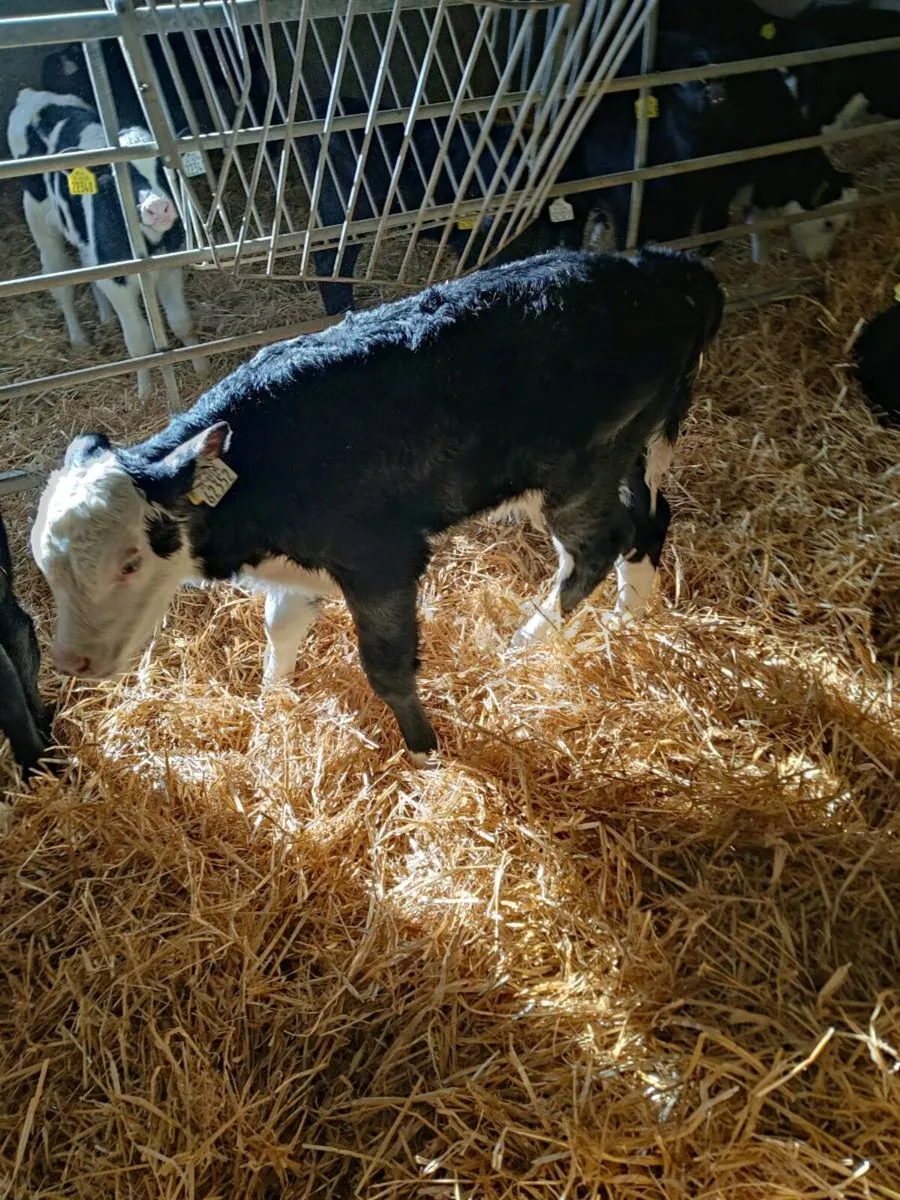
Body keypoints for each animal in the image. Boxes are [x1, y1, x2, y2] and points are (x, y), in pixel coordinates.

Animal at [31, 247, 724, 759]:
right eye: (45, 567)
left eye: (129, 562)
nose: (69, 660)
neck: (262, 465)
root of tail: (665, 270)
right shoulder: (300, 568)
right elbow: (280, 630)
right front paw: (271, 712)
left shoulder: (381, 561)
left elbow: (386, 667)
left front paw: (424, 752)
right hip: (630, 449)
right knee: (648, 521)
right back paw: (629, 620)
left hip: (576, 473)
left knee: (599, 545)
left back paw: (521, 645)